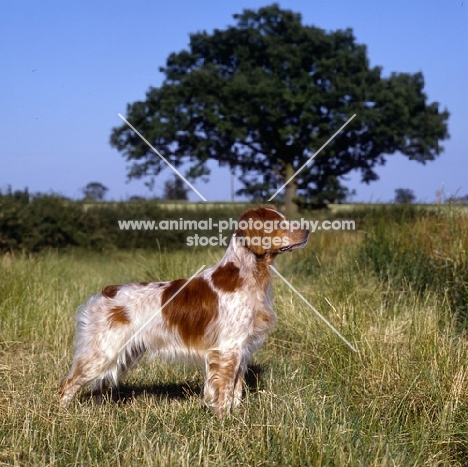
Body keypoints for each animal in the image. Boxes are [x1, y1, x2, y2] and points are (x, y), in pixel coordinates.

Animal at [60, 207, 310, 416]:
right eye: (279, 223)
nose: (307, 229)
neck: (248, 275)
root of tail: (107, 292)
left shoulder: (242, 350)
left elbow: (236, 391)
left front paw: (237, 417)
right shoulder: (227, 349)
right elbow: (224, 391)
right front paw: (223, 421)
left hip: (124, 353)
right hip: (102, 352)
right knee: (67, 384)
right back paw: (60, 415)